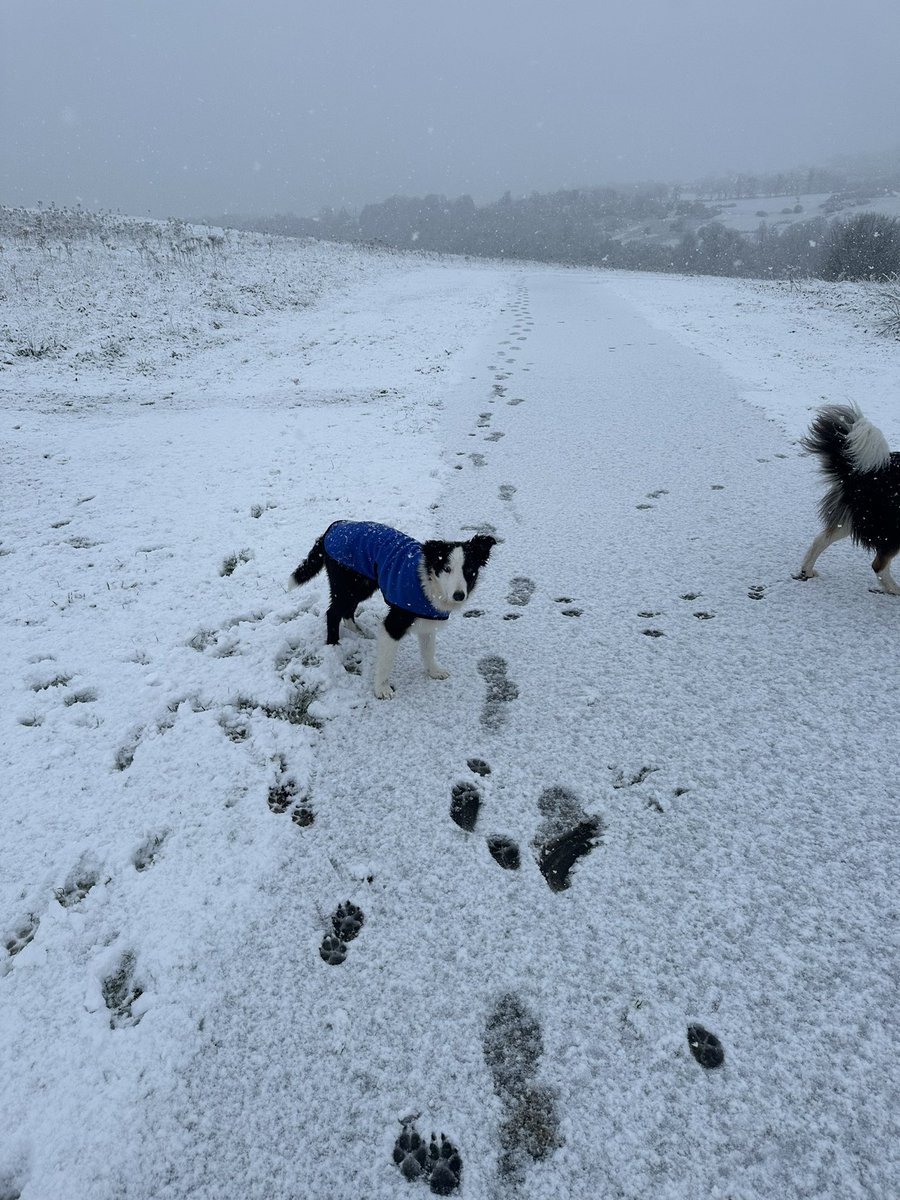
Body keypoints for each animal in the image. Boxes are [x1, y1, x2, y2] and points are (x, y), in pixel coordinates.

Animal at [292, 520, 496, 700]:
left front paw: (434, 671)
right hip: (348, 587)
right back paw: (334, 645)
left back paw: (359, 632)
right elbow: (386, 661)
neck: (429, 583)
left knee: (347, 611)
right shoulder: (394, 623)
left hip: (363, 585)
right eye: (446, 569)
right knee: (333, 613)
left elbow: (428, 650)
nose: (459, 595)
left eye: (469, 570)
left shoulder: (427, 619)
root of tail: (333, 527)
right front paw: (381, 689)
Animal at [801, 408, 900, 595]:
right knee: (878, 566)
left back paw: (807, 570)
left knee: (821, 539)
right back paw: (896, 589)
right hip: (889, 526)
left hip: (853, 518)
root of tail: (860, 473)